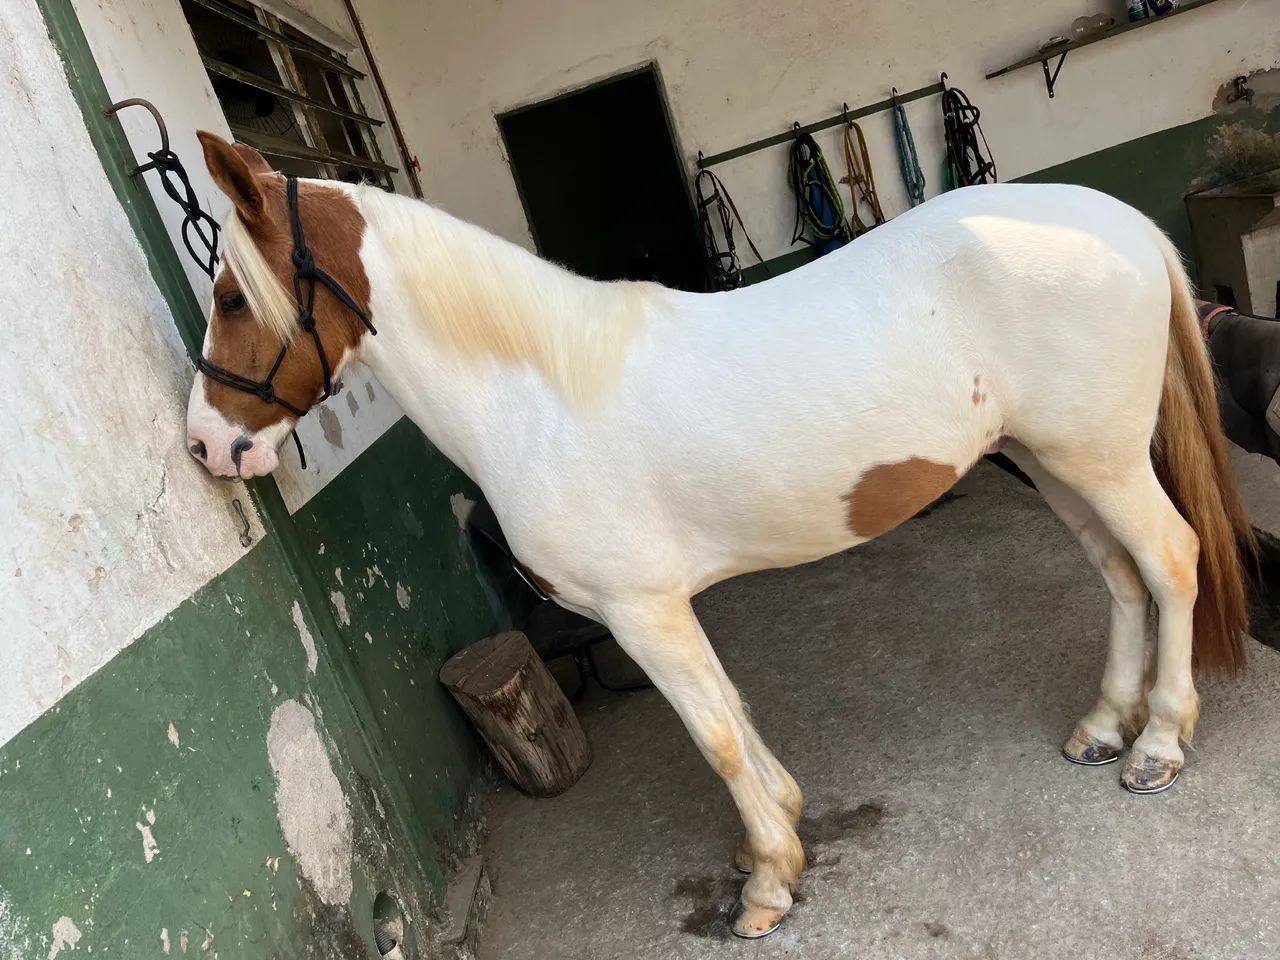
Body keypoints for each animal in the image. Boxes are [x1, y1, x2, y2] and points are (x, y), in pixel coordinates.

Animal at [185, 132, 1252, 939]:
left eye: (233, 297)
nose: (205, 444)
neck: (541, 394)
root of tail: (1121, 223)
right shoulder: (665, 610)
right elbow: (735, 712)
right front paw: (772, 833)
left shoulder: (639, 612)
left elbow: (716, 737)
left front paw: (770, 883)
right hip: (1051, 460)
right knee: (1120, 575)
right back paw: (1103, 727)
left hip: (1100, 459)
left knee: (1171, 561)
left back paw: (1158, 744)